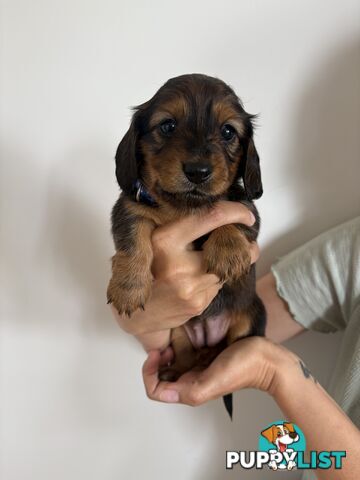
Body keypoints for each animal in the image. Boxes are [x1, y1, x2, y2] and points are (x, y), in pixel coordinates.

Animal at [107, 74, 264, 416]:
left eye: (228, 131)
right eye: (167, 126)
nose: (198, 172)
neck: (184, 207)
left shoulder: (248, 209)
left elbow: (230, 212)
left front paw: (229, 251)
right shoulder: (130, 206)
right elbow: (132, 237)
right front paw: (128, 286)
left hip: (251, 315)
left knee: (225, 349)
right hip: (179, 331)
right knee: (190, 355)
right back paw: (180, 369)